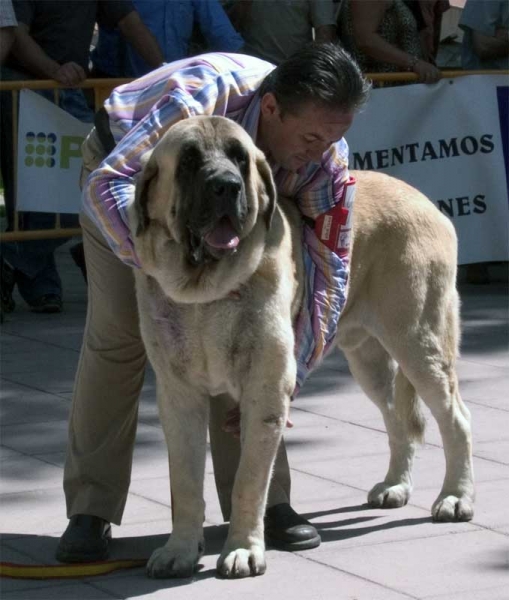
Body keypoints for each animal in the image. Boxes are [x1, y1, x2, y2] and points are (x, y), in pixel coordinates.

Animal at [128, 115, 472, 580]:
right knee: (397, 418)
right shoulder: (178, 396)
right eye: (189, 161)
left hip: (419, 343)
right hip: (369, 360)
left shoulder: (264, 390)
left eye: (239, 158)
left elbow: (249, 480)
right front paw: (179, 549)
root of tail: (428, 204)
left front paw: (243, 550)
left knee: (456, 418)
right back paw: (396, 486)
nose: (226, 187)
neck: (204, 292)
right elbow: (183, 481)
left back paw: (456, 498)